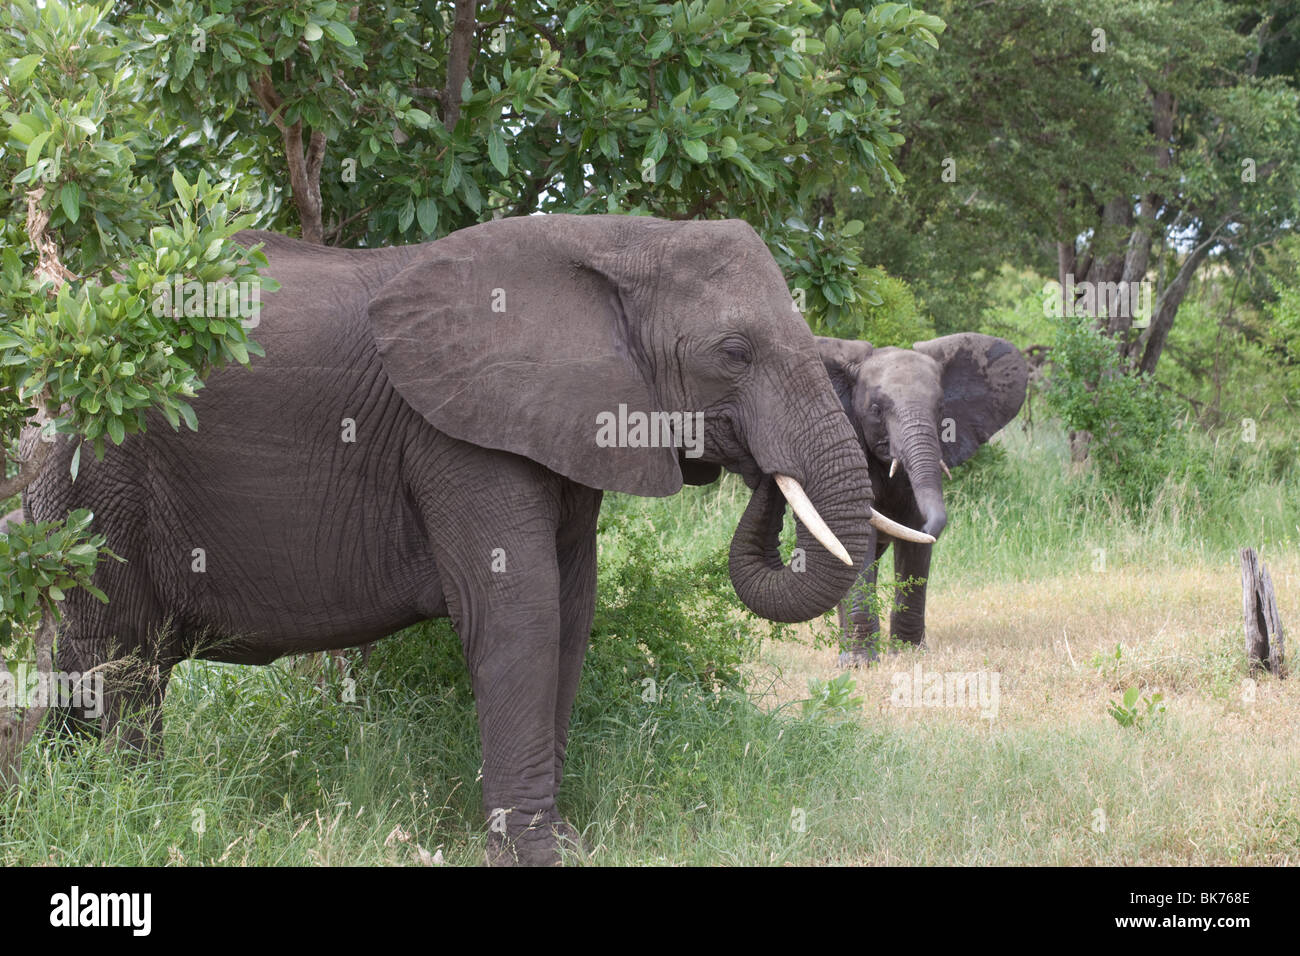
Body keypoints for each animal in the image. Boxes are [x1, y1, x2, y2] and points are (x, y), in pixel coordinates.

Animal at [24, 214, 932, 865]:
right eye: (733, 354)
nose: (757, 468)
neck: (622, 237)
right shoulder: (458, 436)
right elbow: (519, 613)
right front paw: (534, 855)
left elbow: (571, 611)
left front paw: (562, 844)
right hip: (96, 473)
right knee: (122, 658)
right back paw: (139, 811)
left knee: (76, 655)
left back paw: (62, 794)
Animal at [816, 333, 1028, 666]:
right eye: (876, 409)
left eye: (940, 407)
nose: (932, 531)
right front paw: (860, 665)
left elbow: (913, 538)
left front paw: (908, 653)